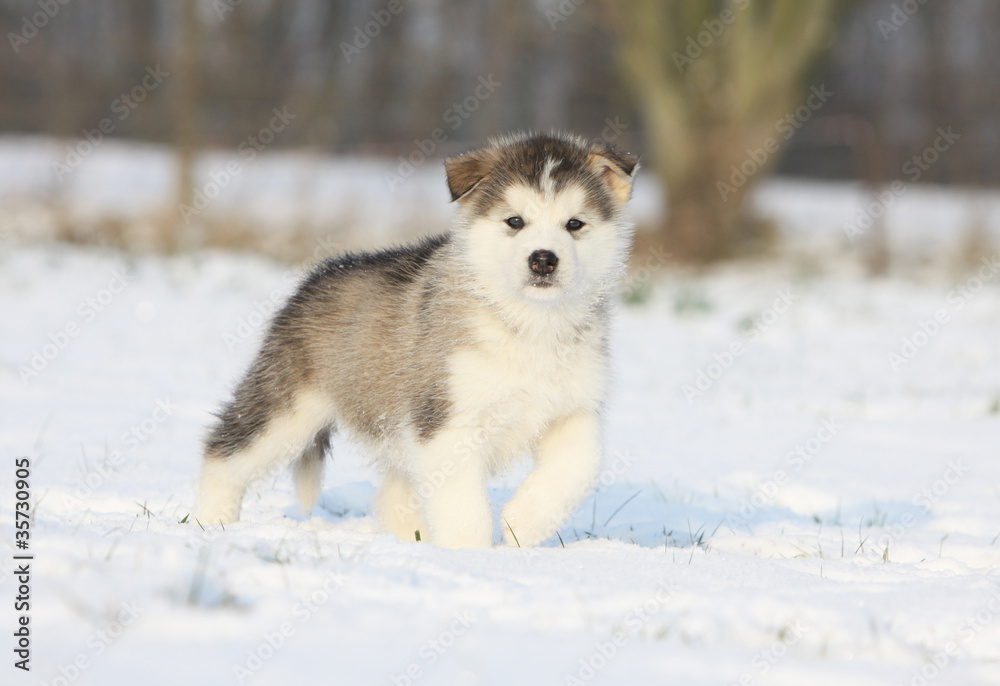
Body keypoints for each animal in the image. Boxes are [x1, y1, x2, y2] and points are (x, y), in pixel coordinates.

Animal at [195, 132, 636, 552]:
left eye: (574, 224)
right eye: (515, 221)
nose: (543, 259)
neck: (531, 324)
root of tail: (321, 274)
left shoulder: (575, 409)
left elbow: (579, 468)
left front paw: (521, 524)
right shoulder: (448, 420)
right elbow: (464, 508)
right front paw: (469, 555)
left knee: (393, 497)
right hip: (288, 408)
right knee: (224, 453)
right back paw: (212, 523)